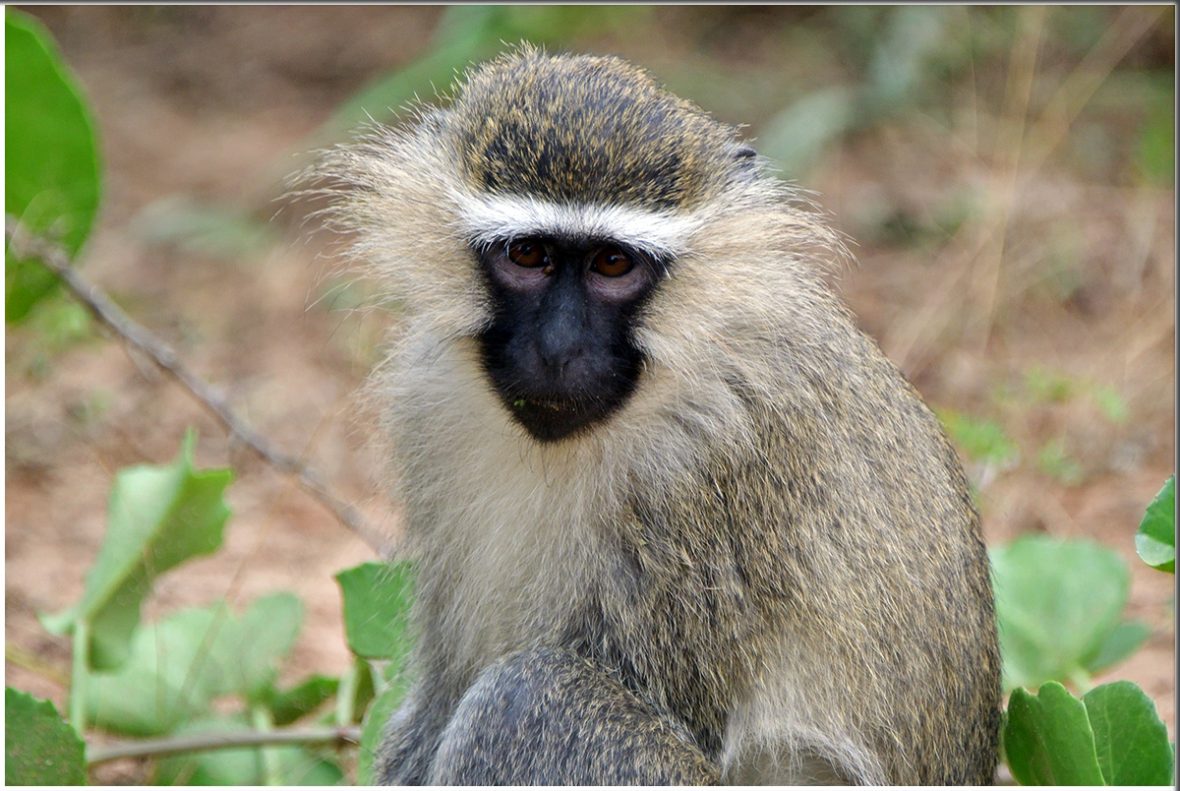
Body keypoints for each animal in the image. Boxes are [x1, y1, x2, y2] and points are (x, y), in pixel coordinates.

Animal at [311, 46, 1002, 785]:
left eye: (614, 263)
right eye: (528, 254)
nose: (559, 349)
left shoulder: (718, 475)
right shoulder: (428, 409)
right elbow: (441, 694)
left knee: (532, 693)